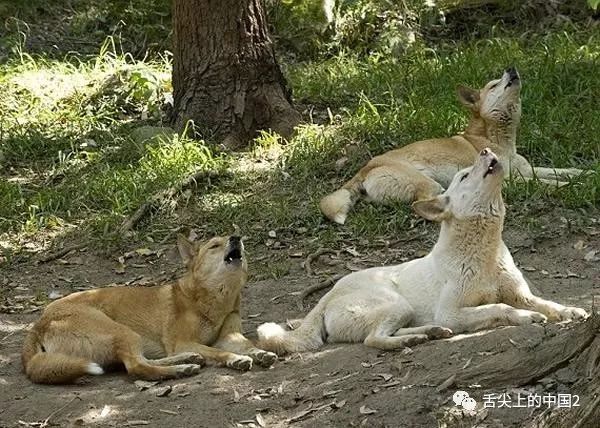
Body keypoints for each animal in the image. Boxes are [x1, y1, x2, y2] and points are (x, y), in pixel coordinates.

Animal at [22, 234, 276, 384]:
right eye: (214, 245)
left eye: (233, 237)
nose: (237, 237)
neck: (214, 299)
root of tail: (38, 324)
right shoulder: (182, 341)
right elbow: (218, 352)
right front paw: (235, 358)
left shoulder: (229, 336)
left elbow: (247, 345)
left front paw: (258, 353)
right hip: (121, 330)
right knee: (136, 367)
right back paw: (181, 369)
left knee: (139, 362)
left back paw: (186, 361)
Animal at [258, 149, 584, 352]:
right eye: (464, 176)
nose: (485, 150)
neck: (485, 253)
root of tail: (327, 297)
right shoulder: (450, 313)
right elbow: (499, 308)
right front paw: (525, 317)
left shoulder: (521, 294)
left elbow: (546, 303)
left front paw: (568, 310)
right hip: (396, 304)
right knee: (373, 340)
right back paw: (408, 341)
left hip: (404, 310)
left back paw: (427, 333)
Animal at [322, 67, 588, 224]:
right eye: (493, 85)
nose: (511, 68)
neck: (498, 139)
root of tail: (364, 169)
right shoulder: (516, 177)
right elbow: (550, 182)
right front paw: (570, 186)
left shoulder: (526, 169)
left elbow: (560, 171)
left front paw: (584, 173)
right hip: (429, 183)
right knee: (424, 205)